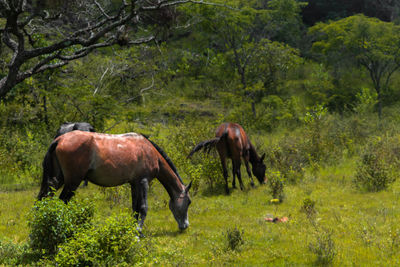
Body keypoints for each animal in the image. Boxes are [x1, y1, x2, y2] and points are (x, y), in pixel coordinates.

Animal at [38, 131, 192, 231]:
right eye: (189, 202)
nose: (185, 226)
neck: (148, 150)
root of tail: (59, 139)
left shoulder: (134, 184)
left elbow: (135, 208)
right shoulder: (143, 182)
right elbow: (143, 207)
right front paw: (138, 232)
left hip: (57, 180)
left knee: (43, 199)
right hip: (72, 182)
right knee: (62, 201)